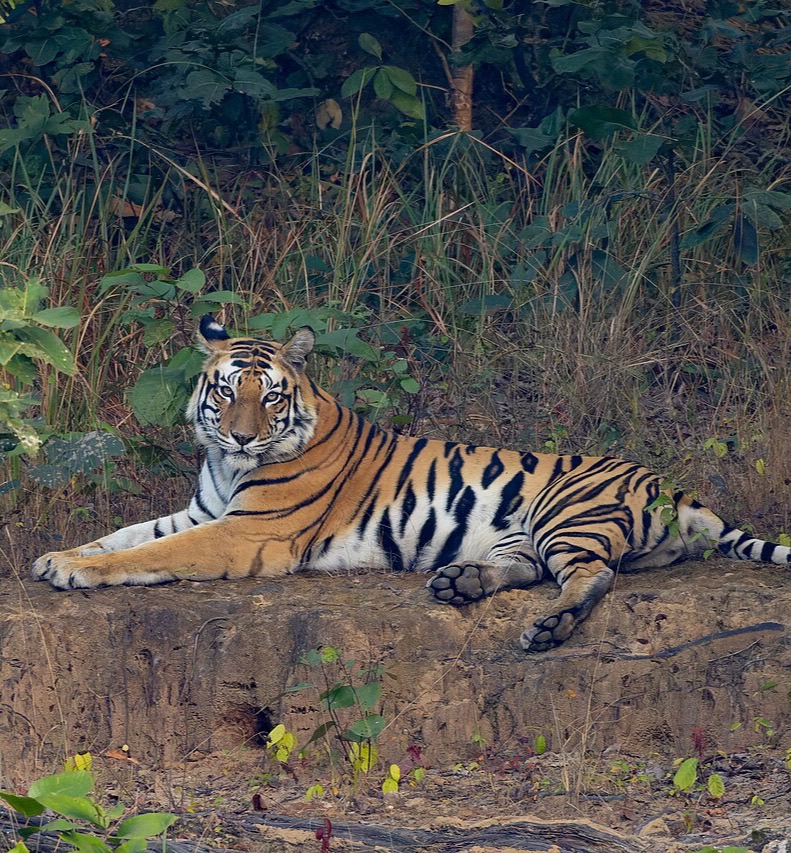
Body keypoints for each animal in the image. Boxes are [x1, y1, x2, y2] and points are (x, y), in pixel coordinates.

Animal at [32, 315, 791, 652]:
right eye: (225, 390)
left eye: (270, 395)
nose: (243, 435)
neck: (227, 464)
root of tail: (673, 485)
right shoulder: (202, 511)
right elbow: (124, 534)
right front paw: (57, 556)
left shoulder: (246, 532)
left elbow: (148, 554)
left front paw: (73, 571)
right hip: (525, 533)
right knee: (525, 569)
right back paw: (460, 582)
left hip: (565, 513)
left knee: (592, 577)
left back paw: (549, 627)